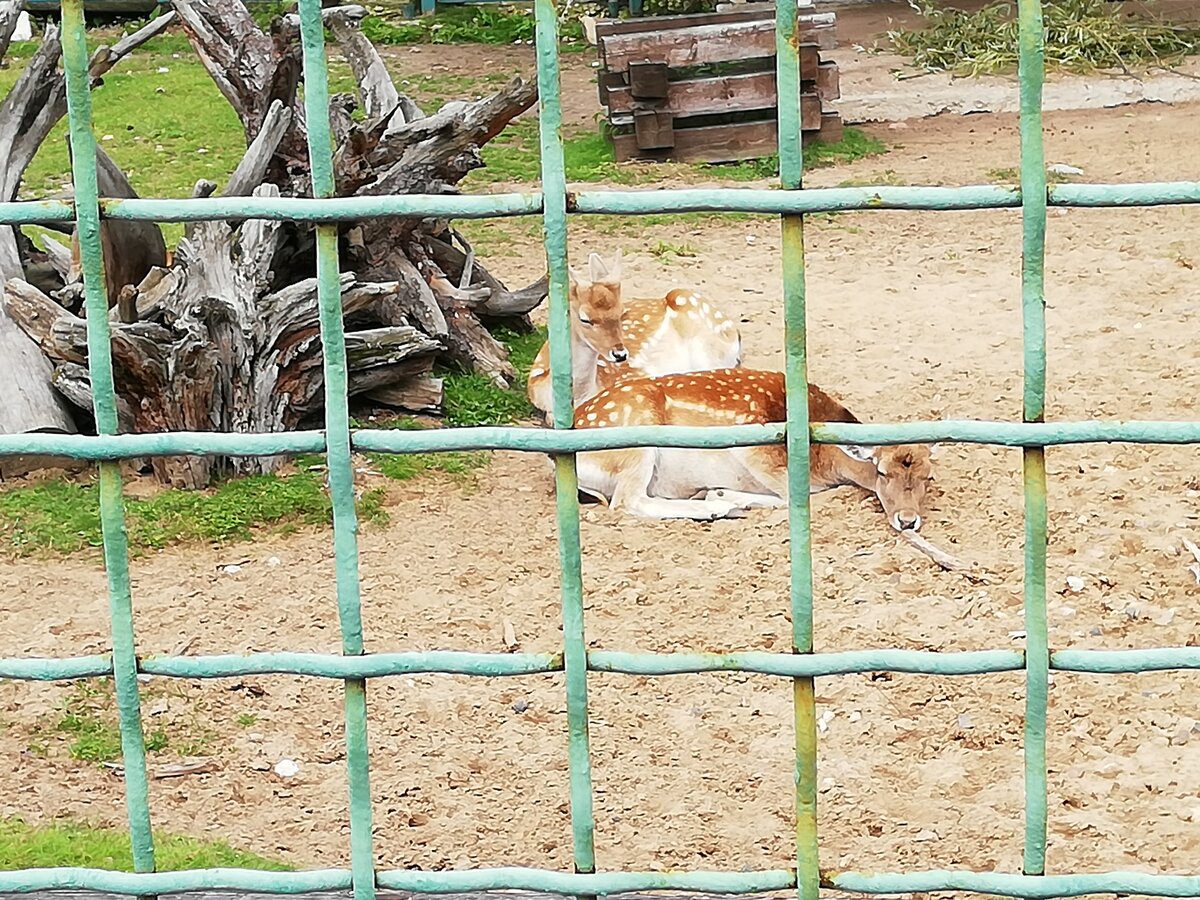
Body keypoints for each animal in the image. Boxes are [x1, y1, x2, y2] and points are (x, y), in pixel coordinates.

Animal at [573, 367, 936, 532]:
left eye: (928, 477)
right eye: (881, 472)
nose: (908, 521)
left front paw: (722, 496)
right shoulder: (755, 448)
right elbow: (795, 496)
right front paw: (722, 496)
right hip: (635, 440)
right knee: (626, 501)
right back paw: (715, 507)